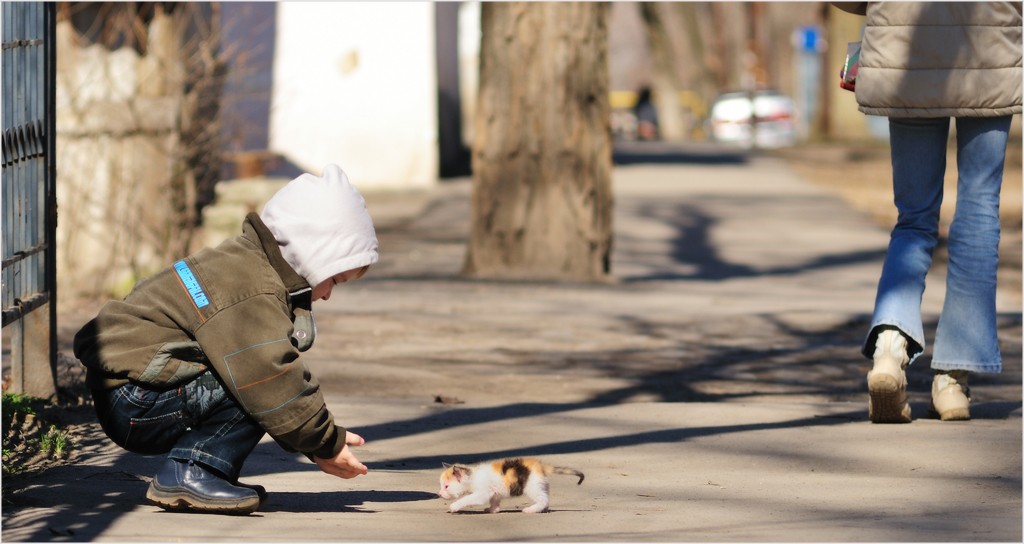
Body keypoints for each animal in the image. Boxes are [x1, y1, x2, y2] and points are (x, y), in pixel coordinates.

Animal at [436, 456, 585, 512]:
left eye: (446, 486)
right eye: (442, 485)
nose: (440, 493)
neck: (473, 475)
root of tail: (541, 465)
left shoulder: (482, 493)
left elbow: (467, 499)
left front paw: (454, 506)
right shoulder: (494, 492)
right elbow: (495, 500)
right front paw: (493, 510)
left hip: (532, 487)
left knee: (543, 499)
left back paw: (531, 509)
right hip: (541, 485)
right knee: (546, 498)